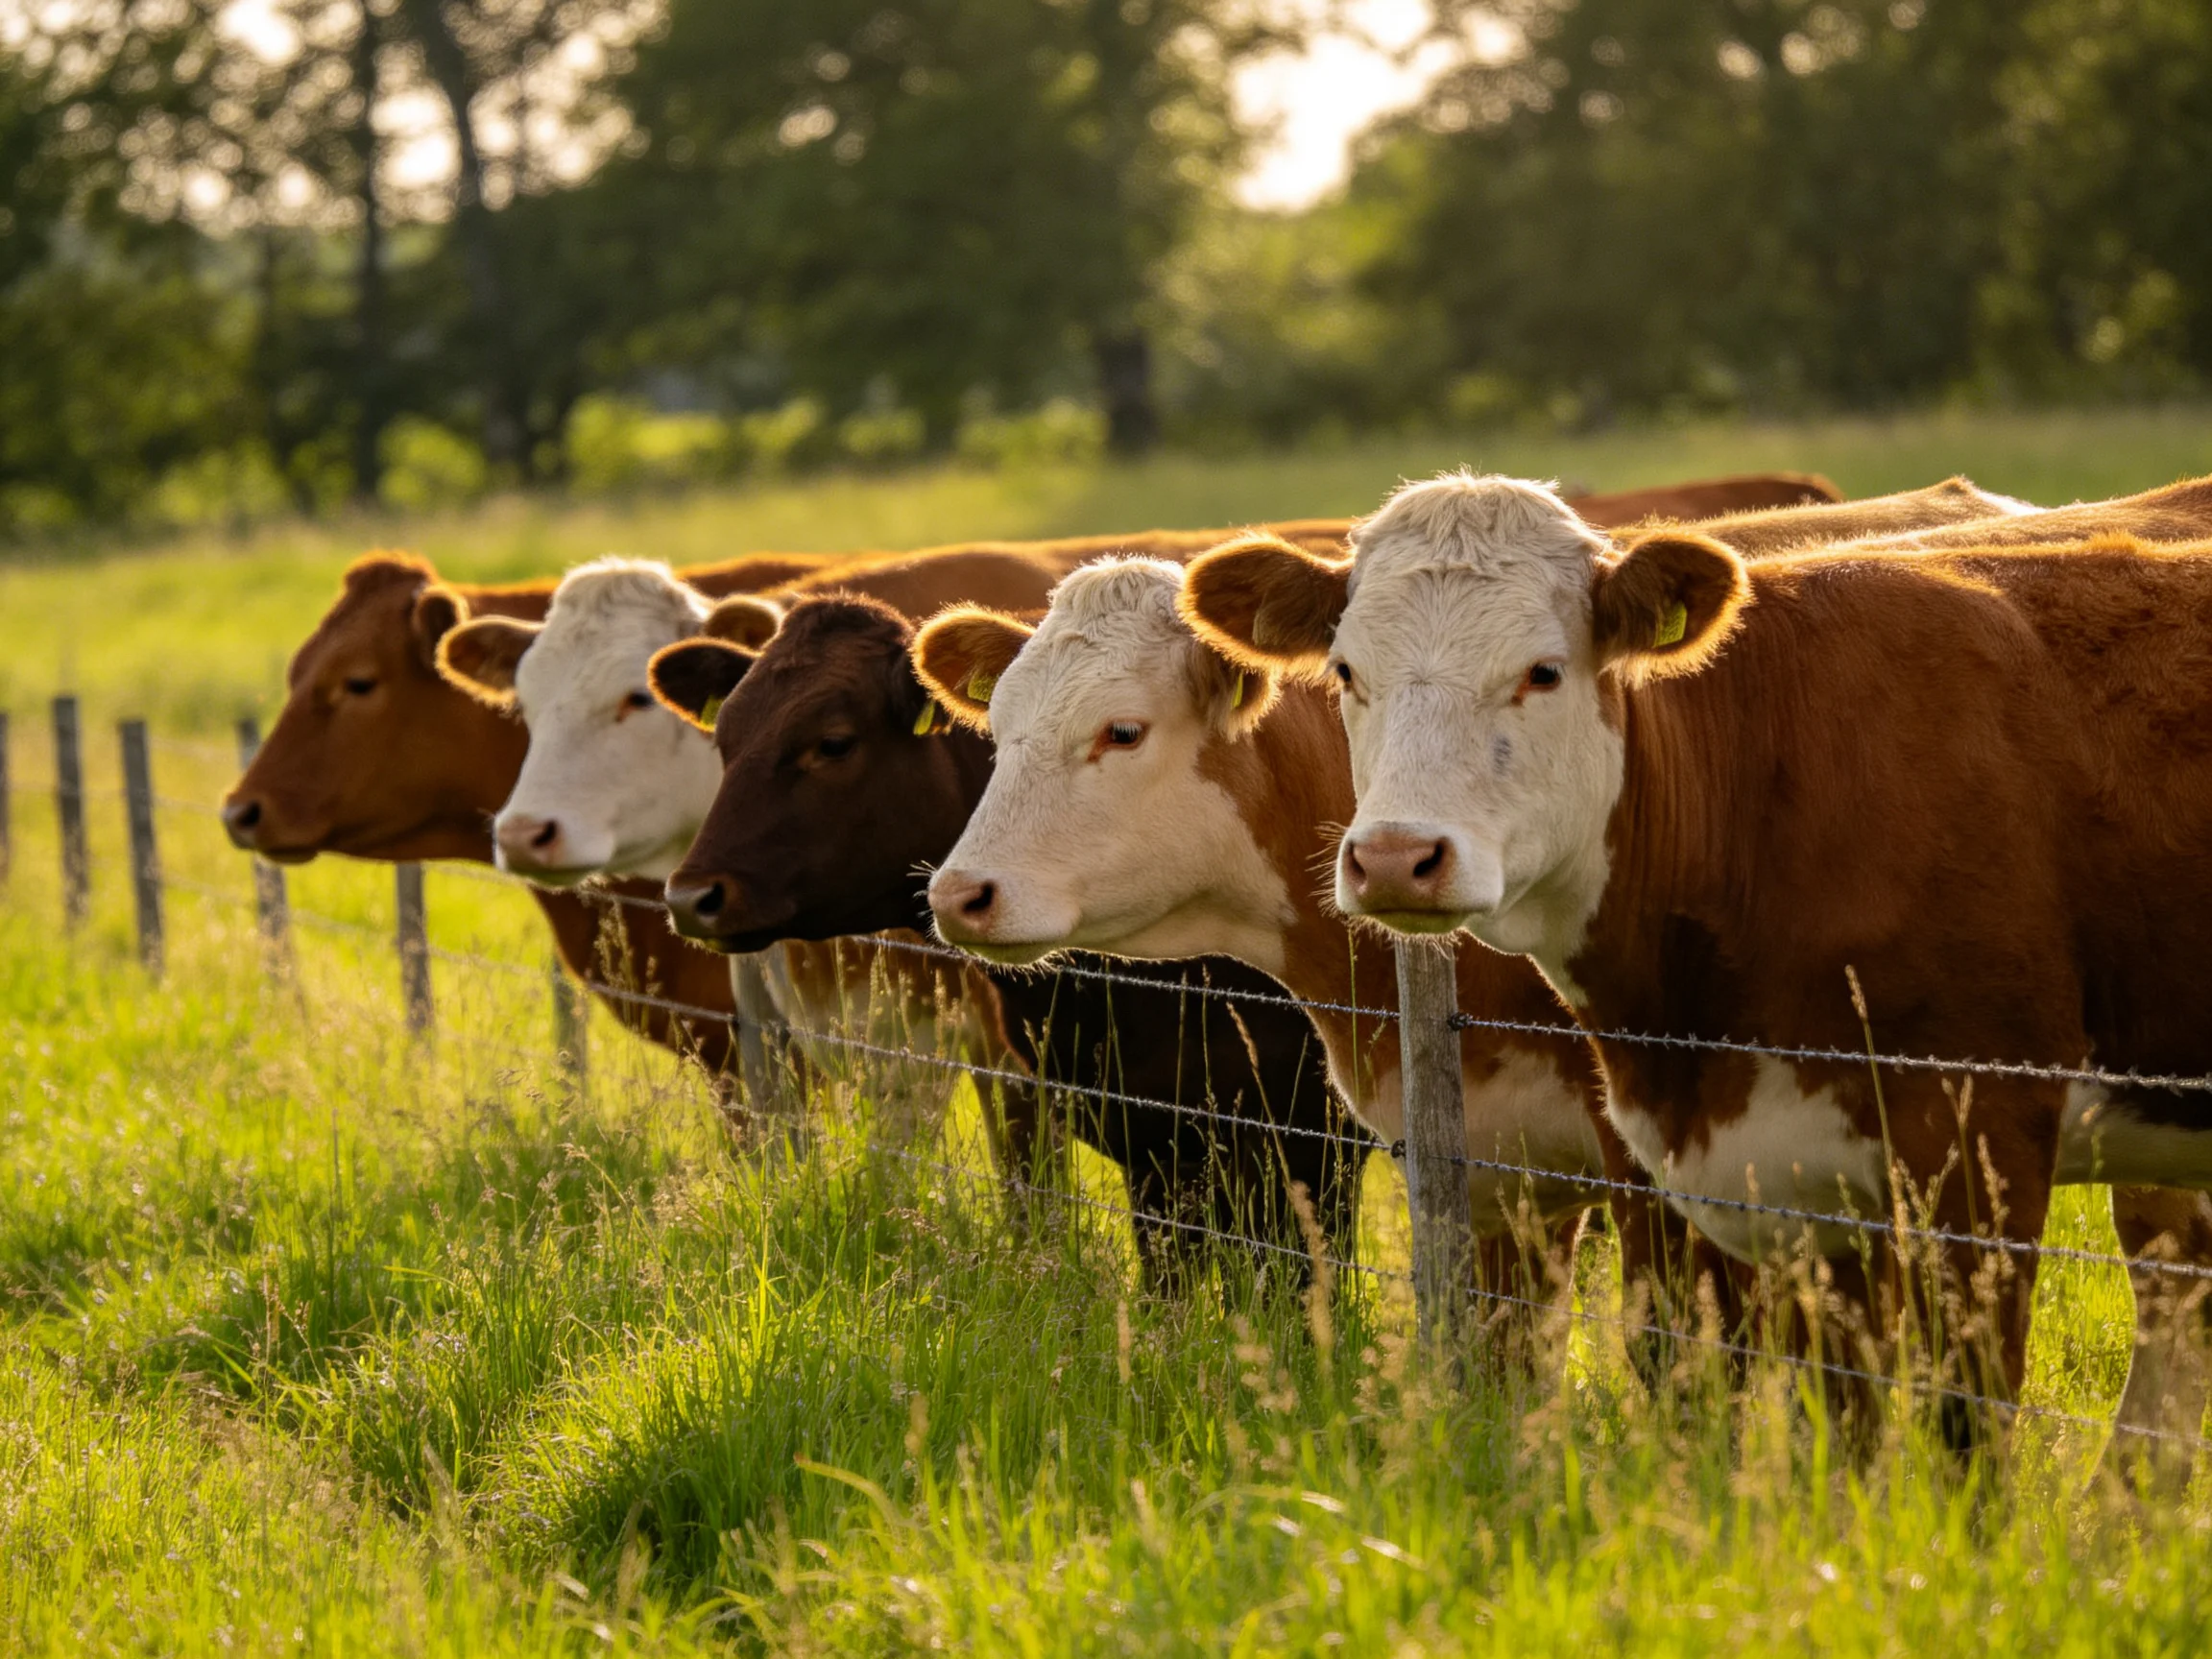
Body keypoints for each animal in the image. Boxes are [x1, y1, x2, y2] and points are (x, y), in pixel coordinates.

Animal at [1180, 472, 2212, 1460]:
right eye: (1348, 671)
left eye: (1543, 672)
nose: (1396, 858)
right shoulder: (1798, 1186)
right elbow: (1836, 1425)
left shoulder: (1978, 1139)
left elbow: (1965, 1424)